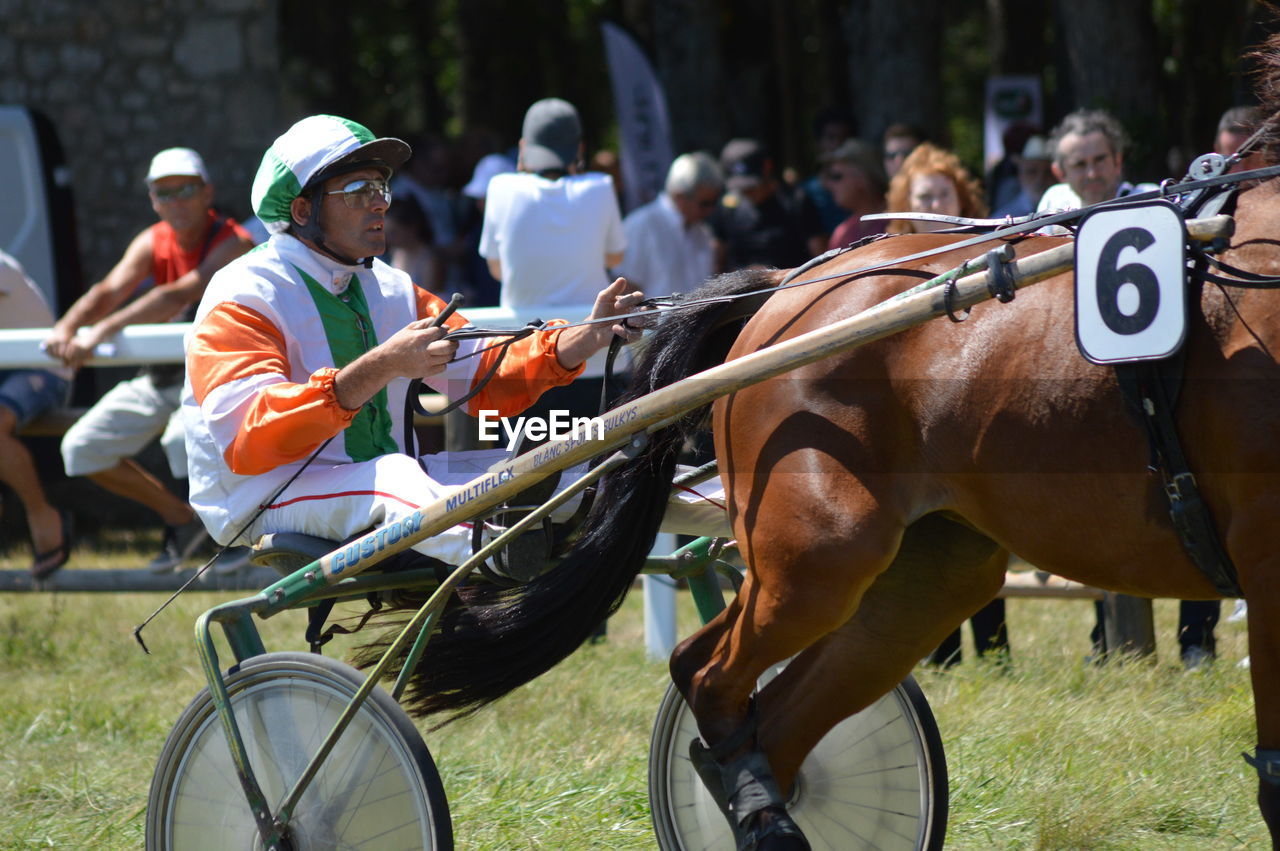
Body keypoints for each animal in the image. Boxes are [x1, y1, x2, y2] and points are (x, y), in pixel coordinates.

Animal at [358, 74, 1280, 851]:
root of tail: (784, 290)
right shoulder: (1264, 554)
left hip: (920, 569)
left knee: (766, 706)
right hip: (820, 553)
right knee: (712, 676)